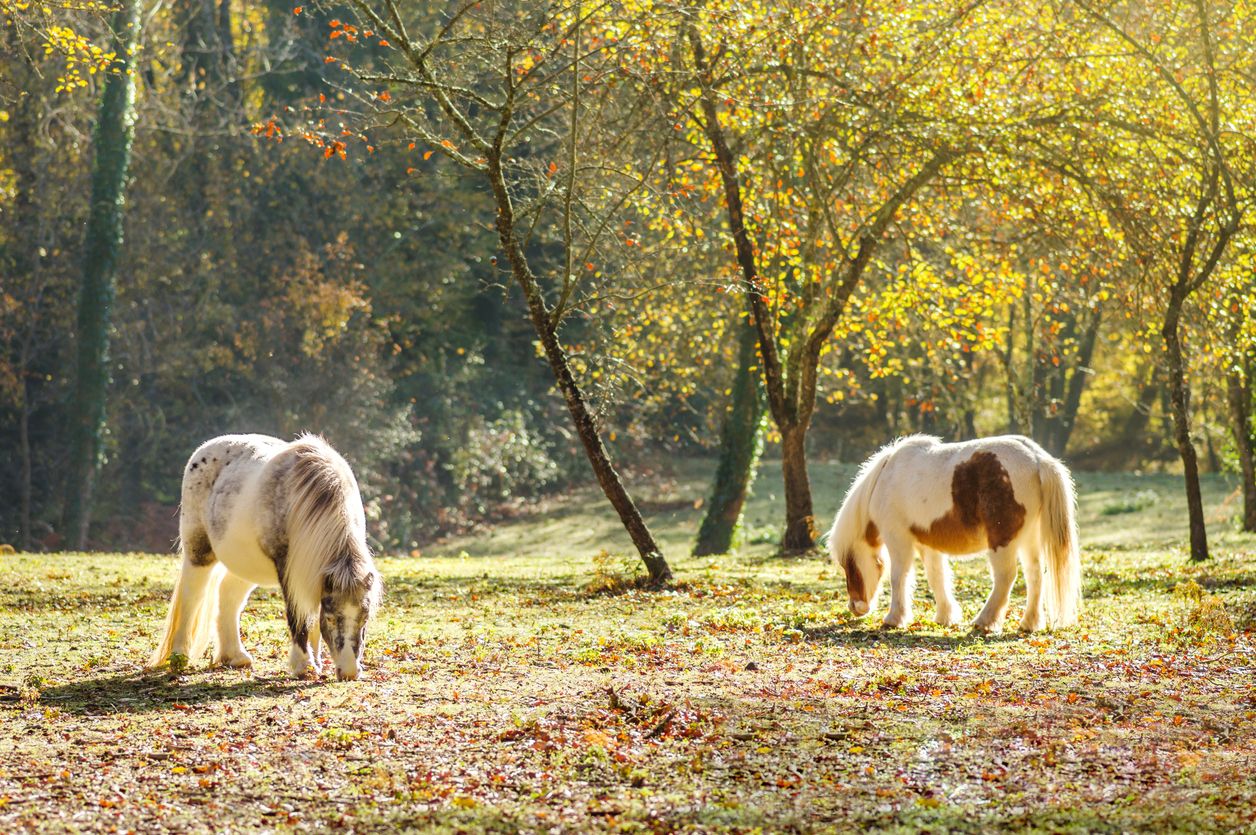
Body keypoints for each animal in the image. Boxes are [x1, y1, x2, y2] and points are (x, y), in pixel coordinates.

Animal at [149, 434, 382, 680]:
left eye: (365, 618)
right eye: (330, 618)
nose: (349, 671)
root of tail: (202, 451)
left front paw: (317, 662)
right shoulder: (288, 569)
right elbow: (298, 614)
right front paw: (304, 665)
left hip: (245, 564)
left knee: (229, 597)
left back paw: (235, 656)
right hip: (198, 553)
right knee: (192, 597)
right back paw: (179, 656)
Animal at [826, 434, 1081, 633]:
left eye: (849, 564)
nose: (855, 607)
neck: (885, 477)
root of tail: (1037, 459)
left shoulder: (898, 538)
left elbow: (899, 576)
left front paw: (894, 619)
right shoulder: (926, 543)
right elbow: (936, 577)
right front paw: (945, 616)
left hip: (1002, 541)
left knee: (1005, 577)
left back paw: (984, 621)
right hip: (1029, 539)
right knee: (1035, 575)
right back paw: (1029, 623)